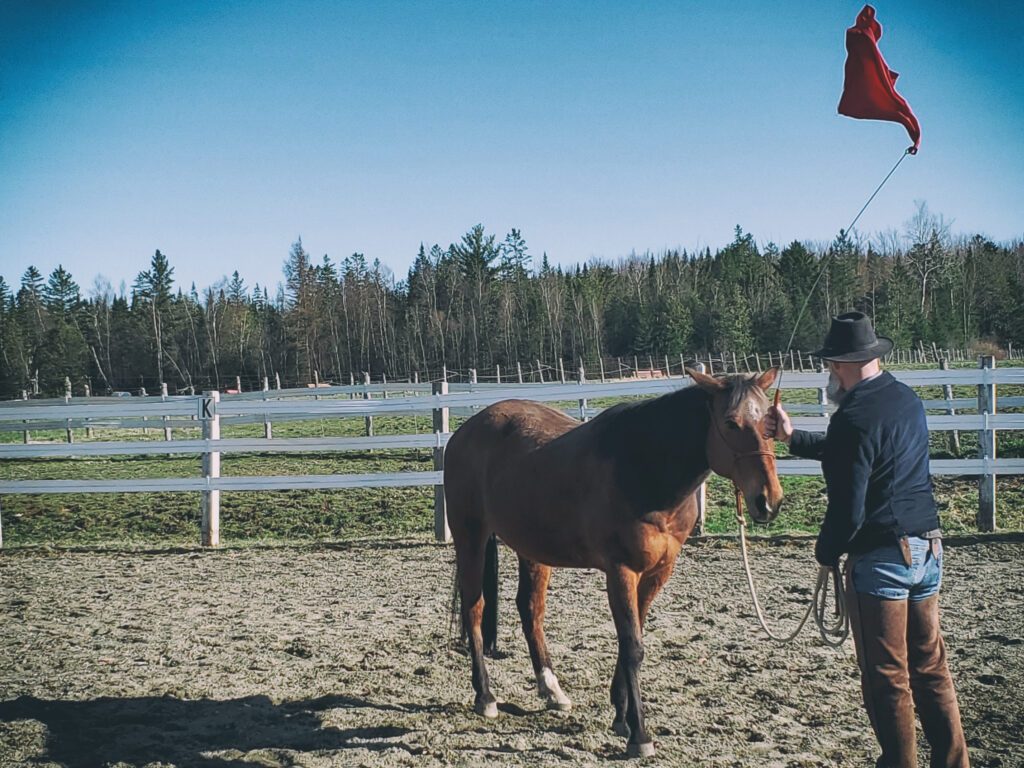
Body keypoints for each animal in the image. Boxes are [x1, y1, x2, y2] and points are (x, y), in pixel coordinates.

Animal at [442, 366, 782, 757]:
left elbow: (631, 638)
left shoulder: (658, 572)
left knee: (530, 610)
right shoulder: (622, 571)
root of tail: (467, 430)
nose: (768, 500)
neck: (646, 466)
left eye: (771, 421)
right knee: (474, 609)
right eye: (730, 422)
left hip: (533, 549)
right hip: (471, 537)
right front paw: (640, 735)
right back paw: (485, 696)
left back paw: (551, 690)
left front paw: (621, 716)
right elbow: (632, 646)